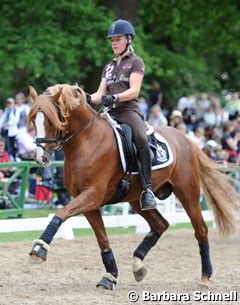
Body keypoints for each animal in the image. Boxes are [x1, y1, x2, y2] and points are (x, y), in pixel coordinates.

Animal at [27, 84, 238, 288]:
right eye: (33, 120)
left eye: (51, 120)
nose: (40, 158)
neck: (87, 139)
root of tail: (186, 139)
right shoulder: (88, 203)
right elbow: (102, 238)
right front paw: (110, 276)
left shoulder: (92, 195)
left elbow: (60, 214)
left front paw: (39, 249)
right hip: (138, 198)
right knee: (160, 224)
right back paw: (138, 266)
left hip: (188, 193)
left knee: (200, 230)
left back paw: (206, 276)